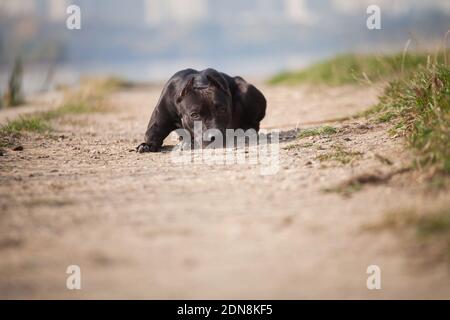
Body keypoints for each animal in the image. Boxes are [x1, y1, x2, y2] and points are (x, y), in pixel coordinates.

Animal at [135, 68, 266, 152]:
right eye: (194, 115)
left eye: (222, 109)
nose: (215, 136)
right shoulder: (159, 120)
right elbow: (151, 133)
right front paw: (147, 145)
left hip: (246, 90)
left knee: (254, 124)